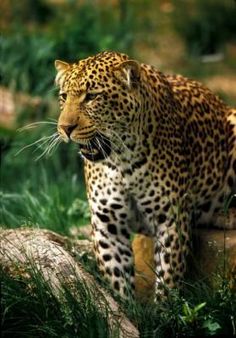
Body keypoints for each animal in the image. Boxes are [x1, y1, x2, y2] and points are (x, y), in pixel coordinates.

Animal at [54, 50, 236, 298]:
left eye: (91, 97)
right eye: (63, 96)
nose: (65, 128)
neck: (121, 161)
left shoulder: (171, 220)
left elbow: (168, 278)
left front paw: (165, 308)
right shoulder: (107, 224)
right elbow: (117, 279)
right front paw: (124, 307)